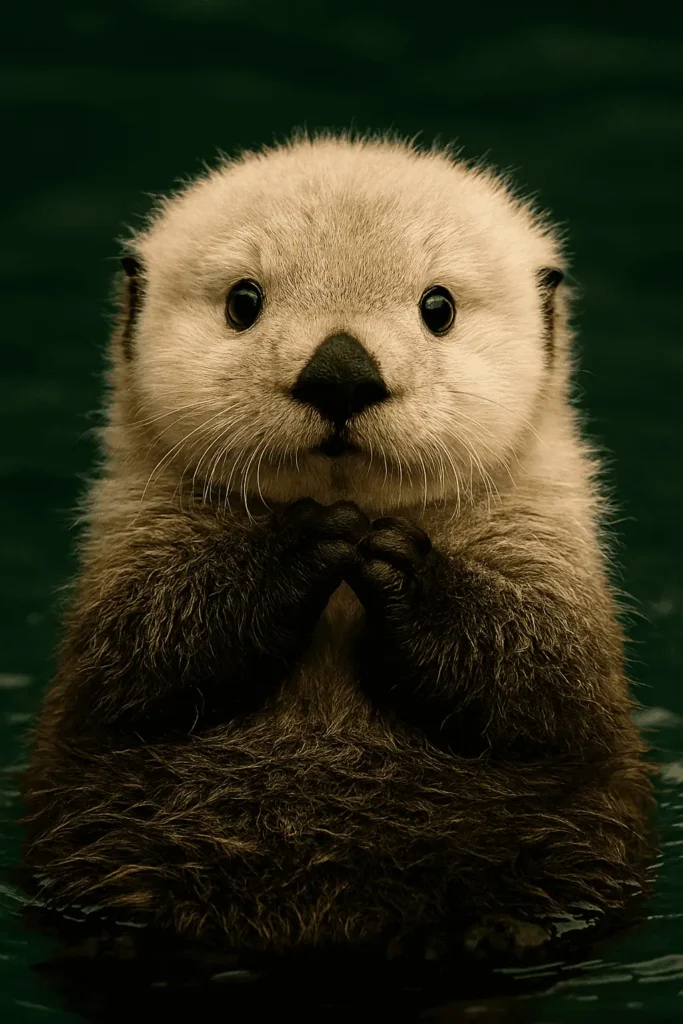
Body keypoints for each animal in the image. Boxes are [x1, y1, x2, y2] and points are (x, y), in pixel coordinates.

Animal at [22, 134, 653, 955]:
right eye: (244, 301)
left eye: (438, 307)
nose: (341, 373)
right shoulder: (135, 538)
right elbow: (144, 658)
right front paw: (306, 545)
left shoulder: (546, 551)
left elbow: (535, 685)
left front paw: (395, 563)